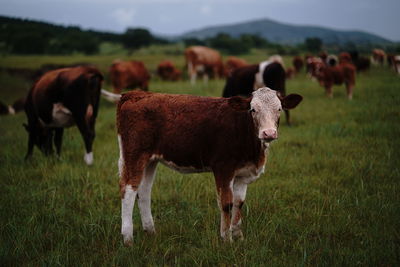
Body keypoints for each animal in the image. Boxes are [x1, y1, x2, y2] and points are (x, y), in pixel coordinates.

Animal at [118, 88, 304, 247]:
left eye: (279, 109)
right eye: (253, 110)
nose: (269, 133)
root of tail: (135, 94)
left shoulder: (243, 175)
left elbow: (239, 204)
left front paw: (239, 237)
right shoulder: (223, 169)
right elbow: (227, 204)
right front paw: (226, 239)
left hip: (151, 160)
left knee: (144, 192)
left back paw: (151, 232)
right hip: (135, 154)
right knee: (128, 190)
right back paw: (128, 239)